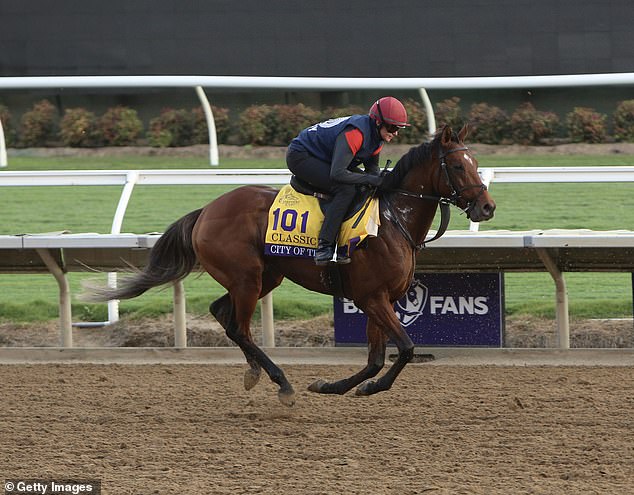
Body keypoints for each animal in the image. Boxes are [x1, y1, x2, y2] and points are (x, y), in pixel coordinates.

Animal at [89, 124, 494, 406]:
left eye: (477, 164)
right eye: (457, 165)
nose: (487, 207)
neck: (394, 220)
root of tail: (206, 210)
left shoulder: (382, 299)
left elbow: (376, 358)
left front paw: (333, 385)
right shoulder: (371, 298)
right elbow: (405, 349)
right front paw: (366, 387)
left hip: (265, 276)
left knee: (222, 313)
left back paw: (255, 371)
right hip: (247, 278)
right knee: (239, 328)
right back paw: (281, 382)